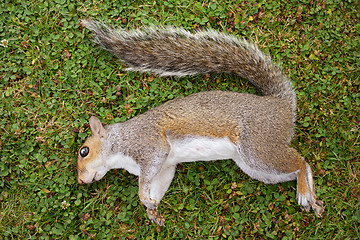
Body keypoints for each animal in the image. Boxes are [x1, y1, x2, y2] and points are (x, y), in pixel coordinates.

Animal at [76, 19, 324, 226]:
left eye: (84, 151)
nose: (80, 181)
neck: (119, 143)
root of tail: (281, 104)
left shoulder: (149, 145)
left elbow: (146, 175)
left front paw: (142, 197)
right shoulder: (165, 166)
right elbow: (158, 186)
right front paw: (152, 210)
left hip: (258, 146)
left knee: (301, 162)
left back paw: (304, 192)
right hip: (254, 166)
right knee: (299, 168)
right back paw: (312, 198)